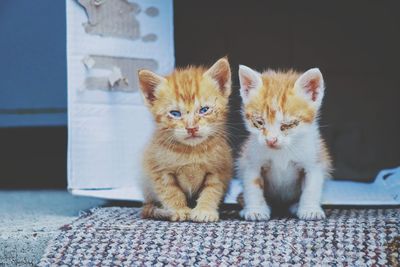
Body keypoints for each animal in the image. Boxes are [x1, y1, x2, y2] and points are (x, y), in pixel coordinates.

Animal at [138, 58, 233, 224]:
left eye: (204, 110)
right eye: (175, 113)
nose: (191, 128)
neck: (191, 151)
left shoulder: (218, 170)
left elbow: (212, 190)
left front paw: (205, 210)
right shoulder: (159, 170)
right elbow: (170, 191)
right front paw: (179, 209)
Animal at [236, 65, 332, 222]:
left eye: (288, 125)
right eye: (259, 122)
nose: (271, 140)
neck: (281, 152)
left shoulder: (314, 162)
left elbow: (312, 187)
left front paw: (310, 209)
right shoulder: (251, 162)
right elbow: (253, 187)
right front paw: (256, 210)